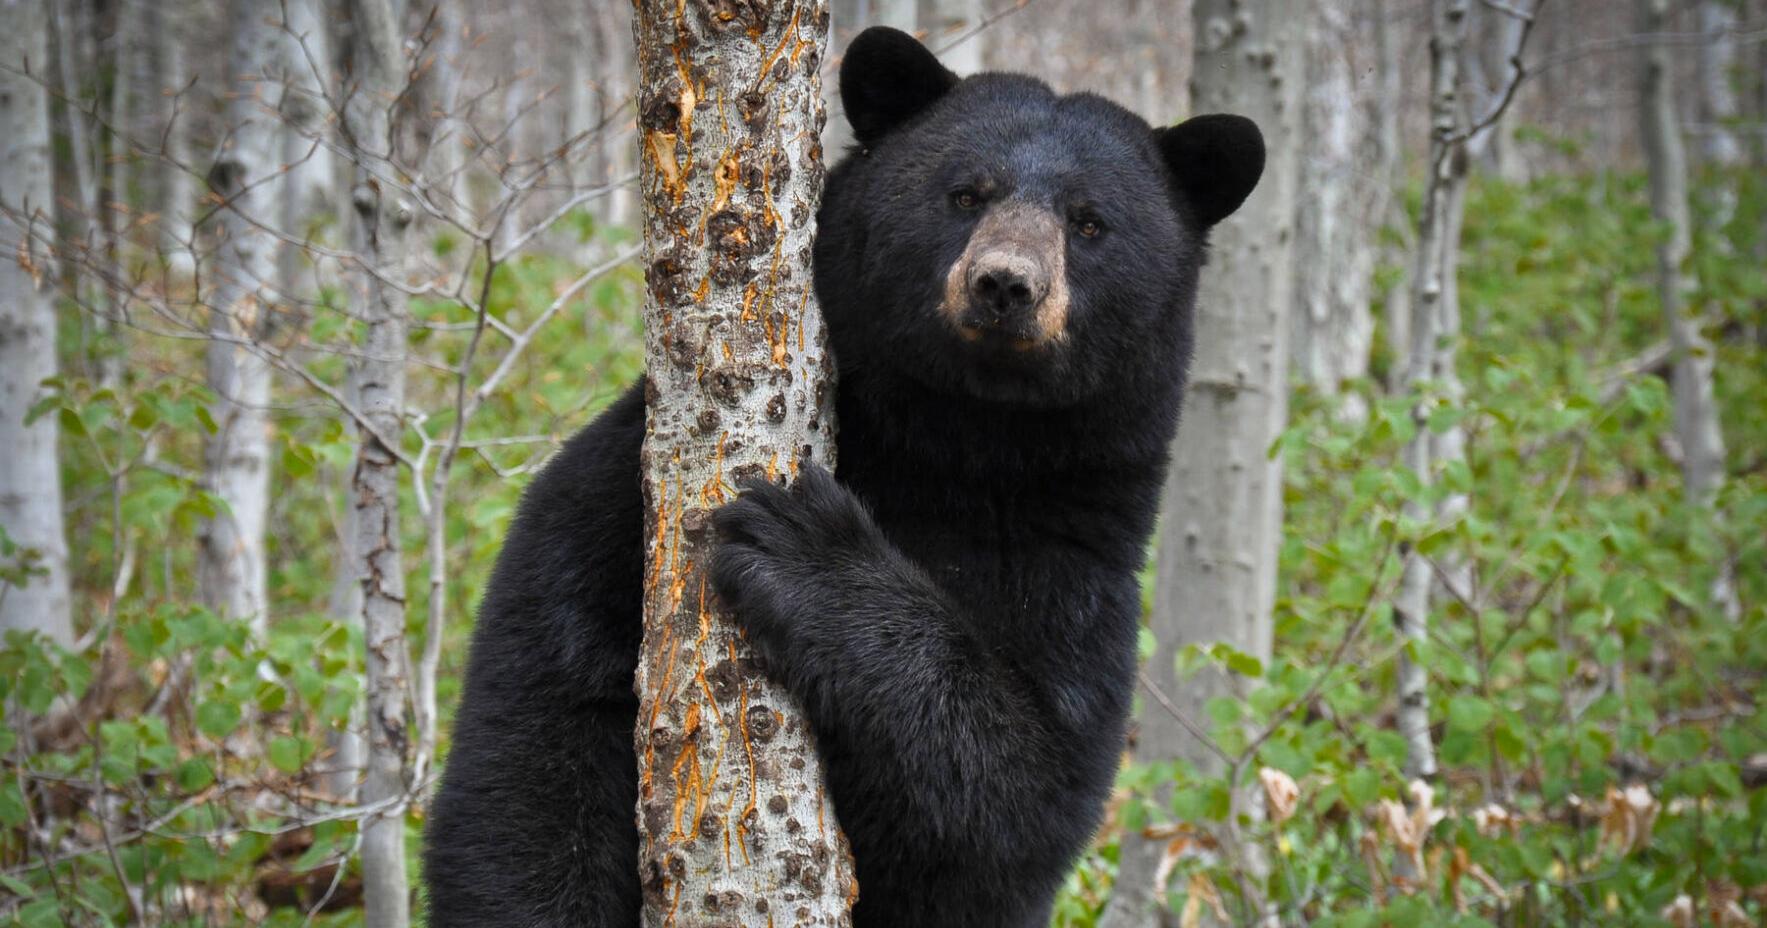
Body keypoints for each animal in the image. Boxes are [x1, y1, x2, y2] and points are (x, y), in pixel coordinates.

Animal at [422, 25, 1264, 928]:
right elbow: (544, 719)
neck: (956, 442)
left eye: (1089, 221)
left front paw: (807, 547)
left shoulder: (1075, 570)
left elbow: (1014, 800)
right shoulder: (619, 493)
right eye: (965, 193)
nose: (1005, 283)